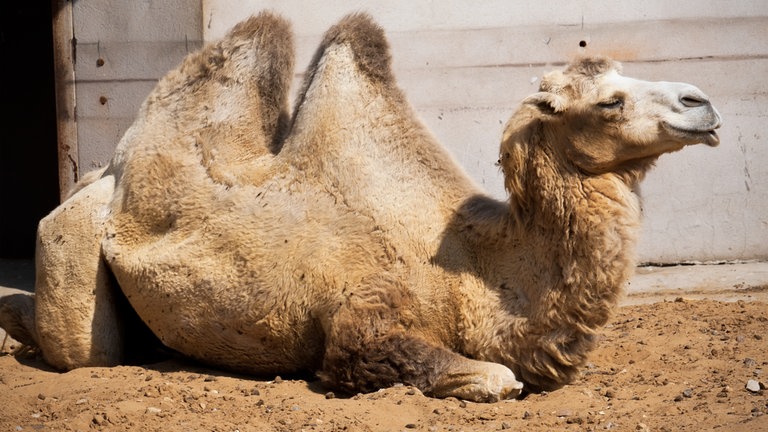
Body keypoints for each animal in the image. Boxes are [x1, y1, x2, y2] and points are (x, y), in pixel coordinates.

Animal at [0, 11, 720, 404]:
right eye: (609, 101)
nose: (703, 102)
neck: (475, 266)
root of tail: (103, 169)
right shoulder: (360, 317)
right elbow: (488, 375)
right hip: (72, 242)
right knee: (84, 349)